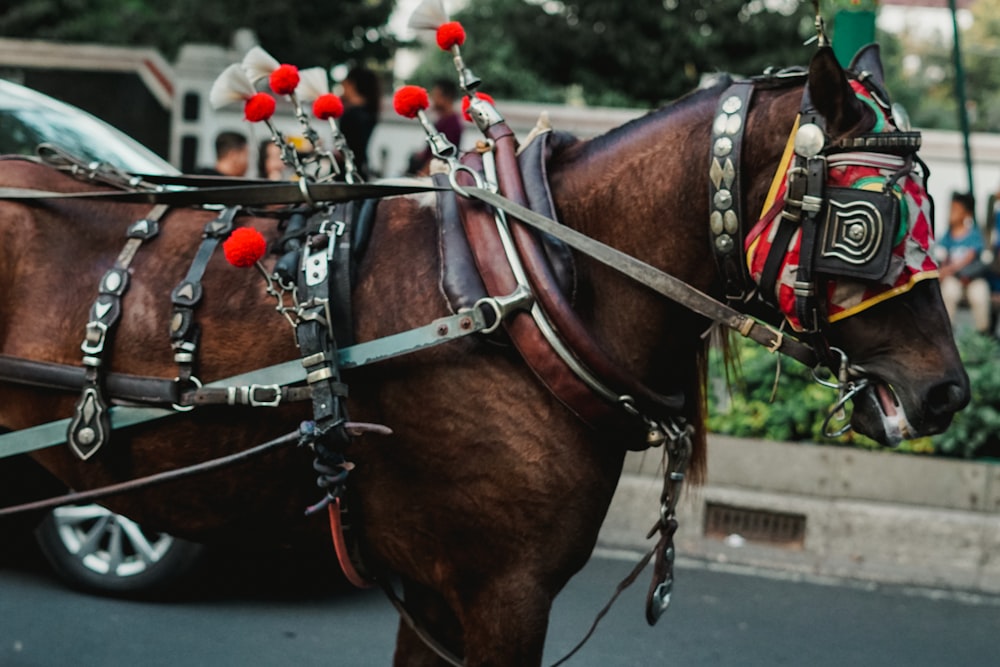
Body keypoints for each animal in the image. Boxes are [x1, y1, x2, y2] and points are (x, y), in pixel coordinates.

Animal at [0, 45, 968, 664]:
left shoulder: (437, 589)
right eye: (865, 224)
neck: (524, 299)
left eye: (927, 205)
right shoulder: (504, 590)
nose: (950, 393)